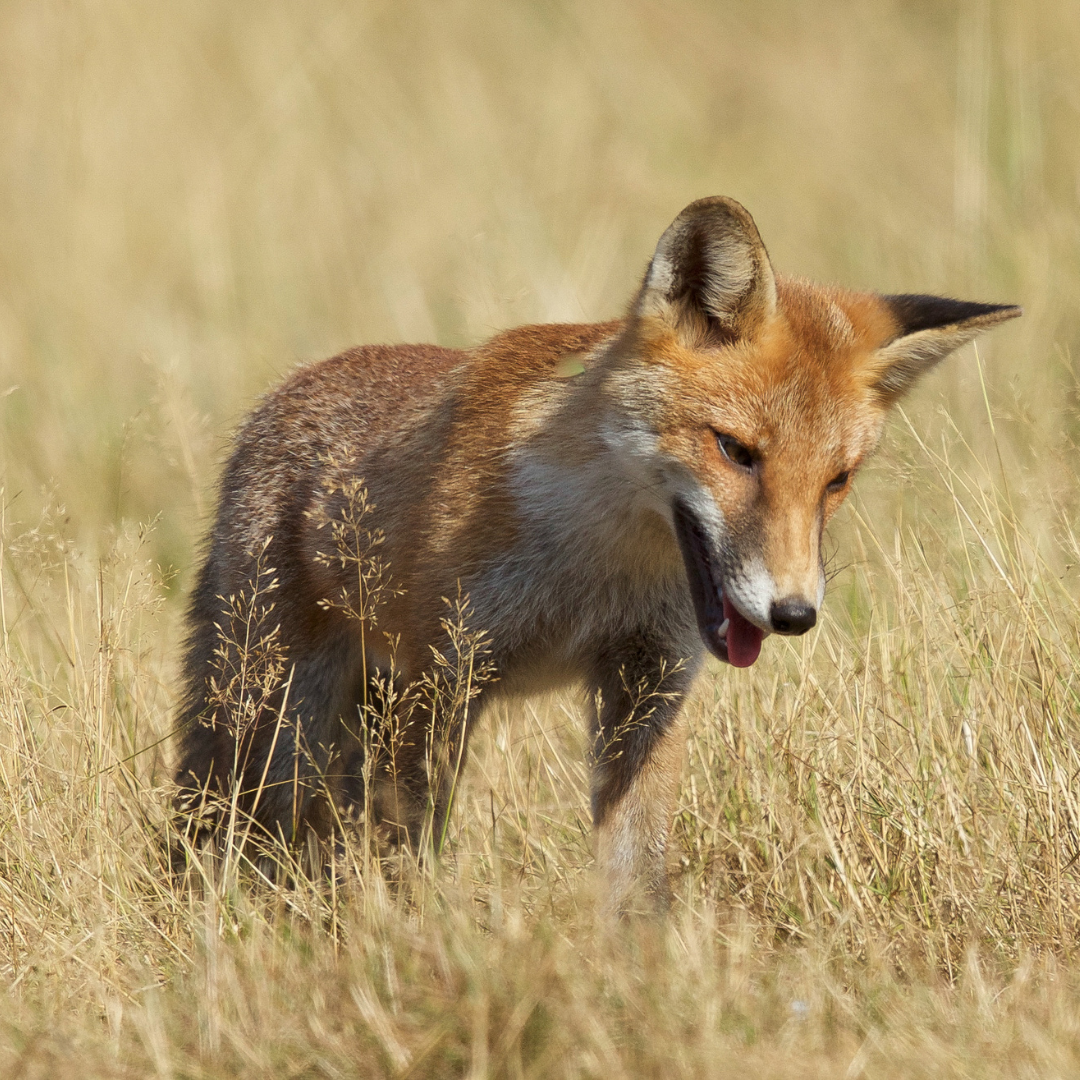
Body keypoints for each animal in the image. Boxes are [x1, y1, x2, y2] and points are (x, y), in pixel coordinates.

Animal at [177, 196, 1019, 911]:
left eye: (836, 480)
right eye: (736, 451)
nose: (793, 613)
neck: (598, 561)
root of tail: (284, 393)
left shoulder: (646, 683)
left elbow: (635, 879)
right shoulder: (442, 675)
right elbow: (407, 853)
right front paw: (416, 938)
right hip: (277, 714)